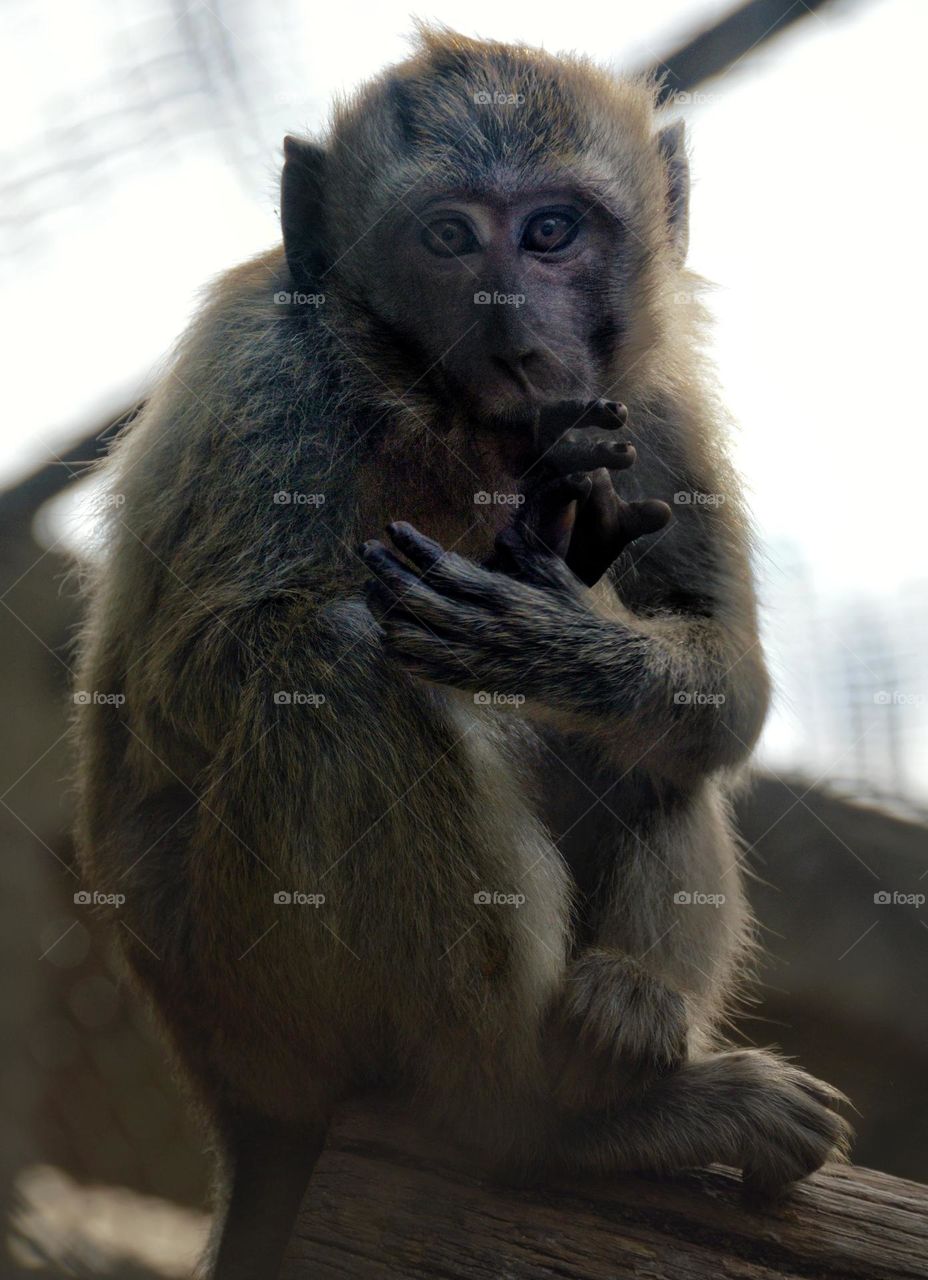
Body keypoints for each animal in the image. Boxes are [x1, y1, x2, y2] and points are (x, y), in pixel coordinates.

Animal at [71, 26, 850, 1280]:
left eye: (551, 232)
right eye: (447, 237)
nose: (515, 332)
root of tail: (231, 1094)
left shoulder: (653, 407)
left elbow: (726, 688)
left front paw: (563, 631)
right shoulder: (272, 373)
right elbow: (195, 670)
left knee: (654, 751)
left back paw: (627, 1008)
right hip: (256, 1001)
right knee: (330, 665)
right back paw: (535, 1122)